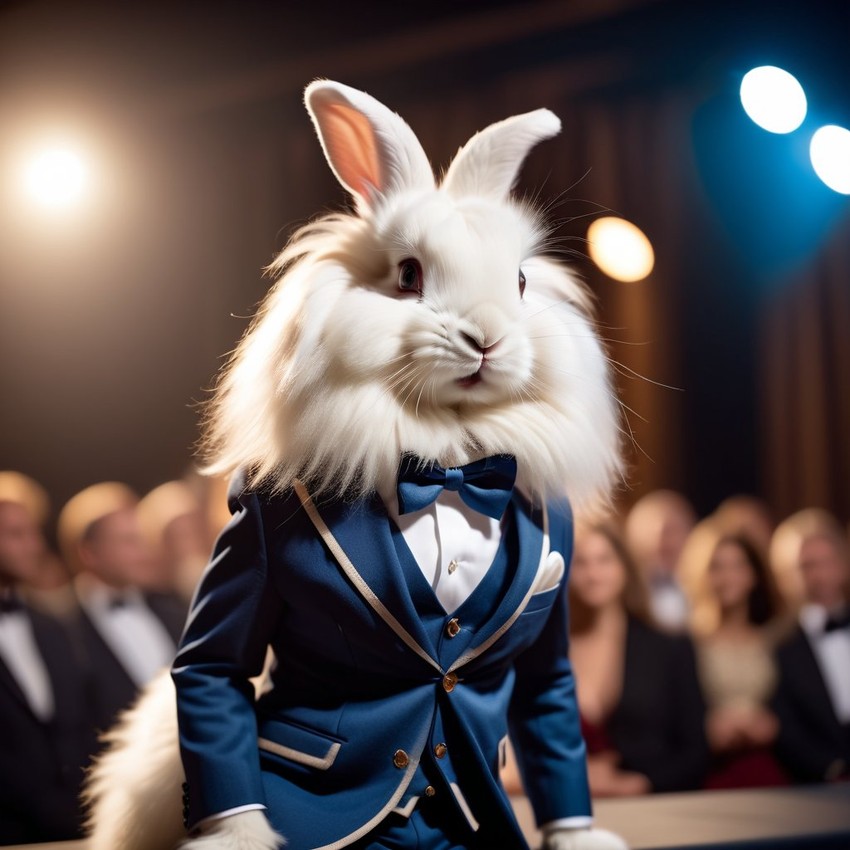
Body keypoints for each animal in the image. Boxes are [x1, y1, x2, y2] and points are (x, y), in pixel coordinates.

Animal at [84, 81, 624, 848]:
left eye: (521, 281)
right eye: (408, 275)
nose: (486, 338)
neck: (449, 465)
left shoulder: (549, 633)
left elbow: (550, 704)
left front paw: (581, 836)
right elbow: (213, 669)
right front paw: (245, 838)